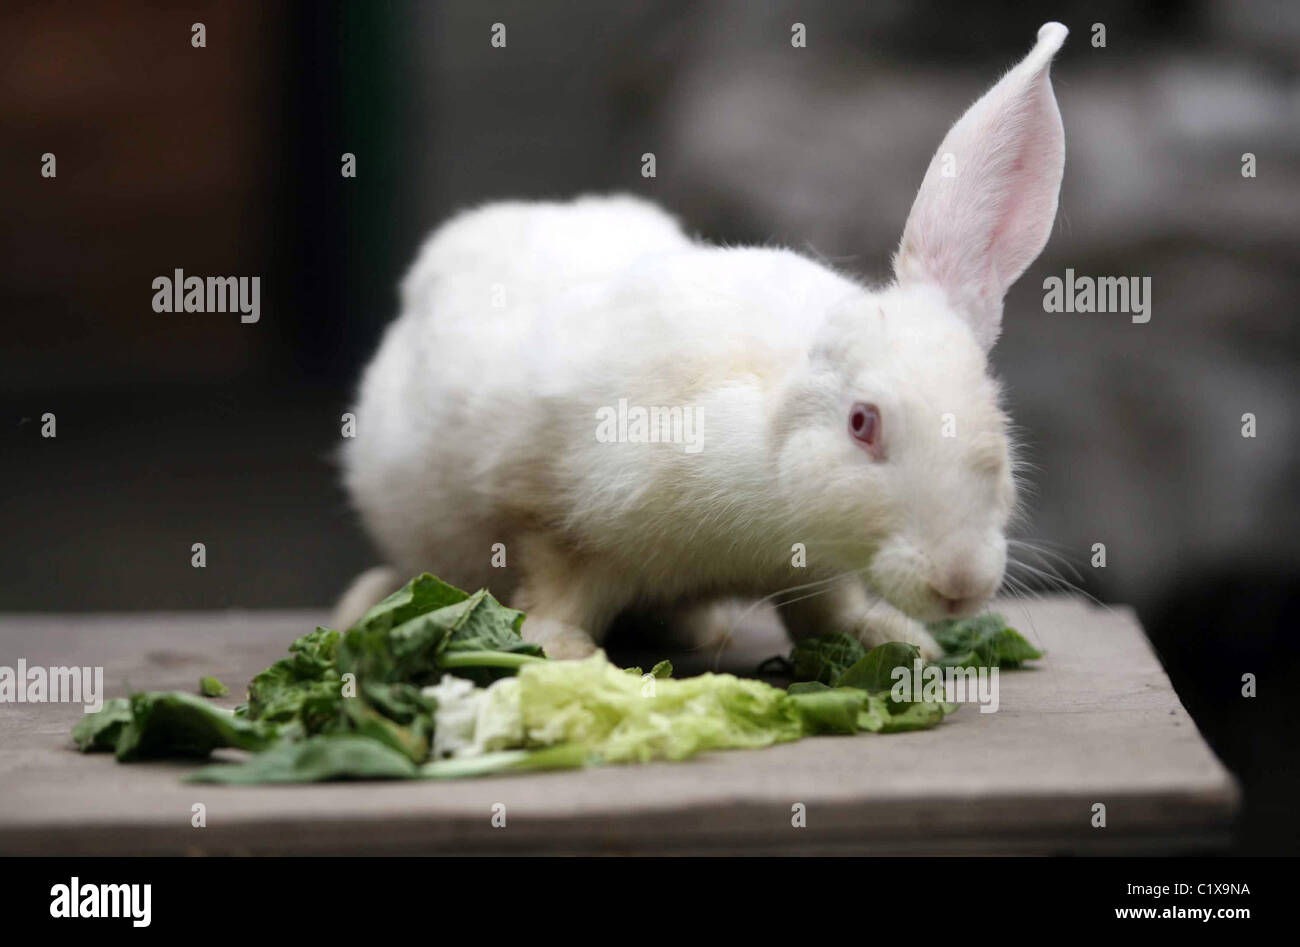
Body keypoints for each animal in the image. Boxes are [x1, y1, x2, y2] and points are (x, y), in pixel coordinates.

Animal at [339, 23, 1069, 660]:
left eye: (995, 419)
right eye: (863, 423)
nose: (962, 584)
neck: (767, 435)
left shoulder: (809, 569)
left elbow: (825, 609)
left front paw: (890, 638)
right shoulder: (546, 507)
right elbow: (555, 585)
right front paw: (562, 651)